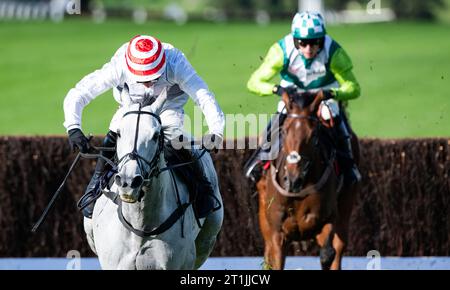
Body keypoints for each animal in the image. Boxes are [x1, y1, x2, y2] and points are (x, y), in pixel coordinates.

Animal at [258, 90, 360, 270]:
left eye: (313, 136)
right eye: (284, 132)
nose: (293, 179)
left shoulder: (327, 218)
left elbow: (328, 254)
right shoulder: (277, 232)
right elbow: (274, 259)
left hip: (346, 204)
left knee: (338, 248)